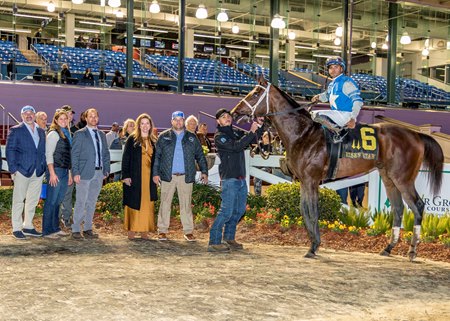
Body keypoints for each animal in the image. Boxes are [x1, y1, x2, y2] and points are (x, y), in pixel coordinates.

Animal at [230, 77, 444, 260]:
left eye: (256, 93)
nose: (234, 111)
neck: (303, 133)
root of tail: (416, 135)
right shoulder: (303, 181)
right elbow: (304, 210)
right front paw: (313, 243)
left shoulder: (311, 180)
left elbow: (313, 211)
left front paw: (314, 246)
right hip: (389, 178)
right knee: (399, 208)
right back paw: (389, 247)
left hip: (403, 179)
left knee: (418, 206)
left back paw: (412, 250)